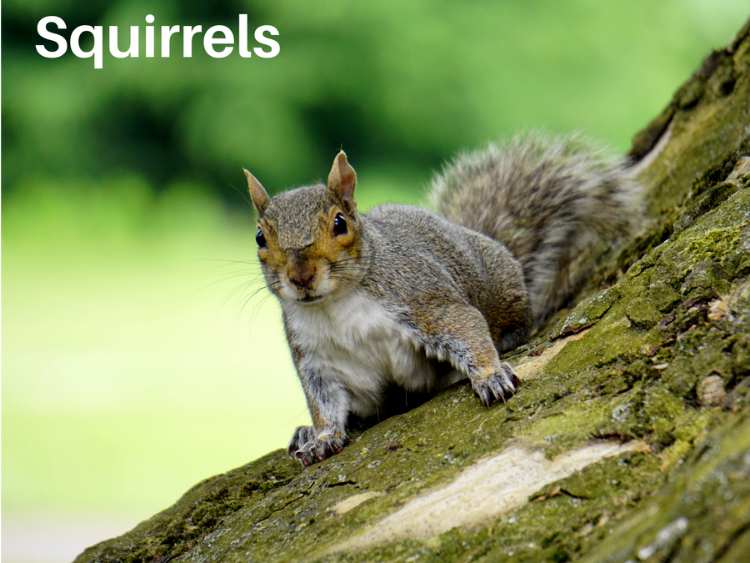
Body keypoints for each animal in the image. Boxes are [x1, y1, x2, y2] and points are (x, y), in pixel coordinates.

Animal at [243, 132, 643, 467]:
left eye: (340, 223)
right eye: (260, 237)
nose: (300, 276)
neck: (335, 306)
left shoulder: (423, 299)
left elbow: (466, 327)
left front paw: (490, 375)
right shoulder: (316, 358)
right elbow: (323, 402)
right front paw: (322, 437)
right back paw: (305, 433)